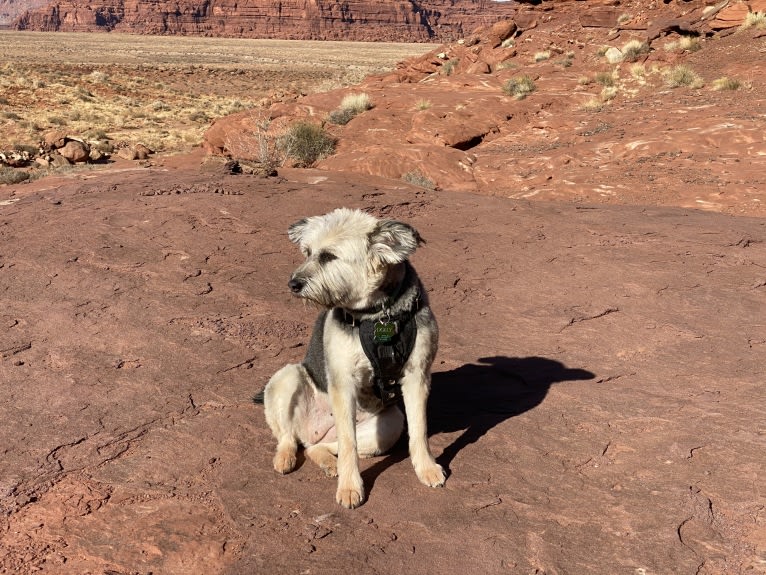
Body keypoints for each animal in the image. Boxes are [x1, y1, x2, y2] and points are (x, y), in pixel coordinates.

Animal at [260, 207, 448, 508]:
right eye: (307, 252)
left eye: (328, 256)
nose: (293, 284)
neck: (378, 313)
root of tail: (315, 431)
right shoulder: (342, 381)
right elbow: (349, 445)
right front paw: (350, 487)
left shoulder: (417, 376)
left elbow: (419, 429)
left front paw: (427, 468)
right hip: (286, 378)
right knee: (288, 437)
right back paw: (285, 458)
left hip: (389, 425)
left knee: (318, 447)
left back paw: (327, 462)